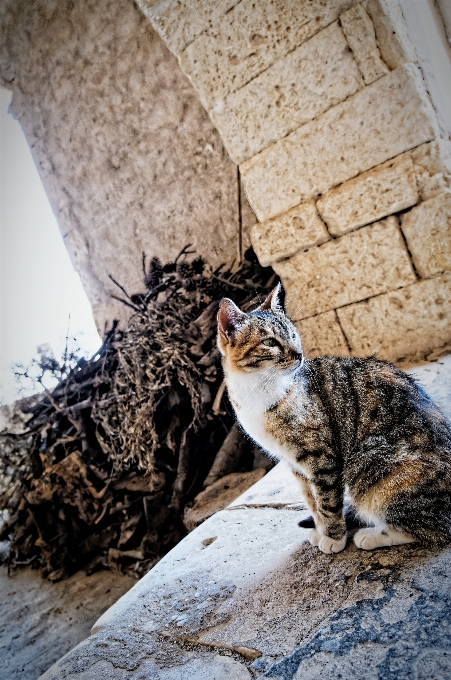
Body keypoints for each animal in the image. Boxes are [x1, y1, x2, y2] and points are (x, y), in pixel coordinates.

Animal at [217, 284, 451, 556]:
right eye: (269, 342)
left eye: (294, 335)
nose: (299, 354)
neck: (258, 389)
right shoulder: (295, 464)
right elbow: (312, 501)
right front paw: (320, 531)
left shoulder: (321, 459)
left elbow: (327, 503)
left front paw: (334, 538)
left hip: (369, 460)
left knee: (435, 528)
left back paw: (372, 535)